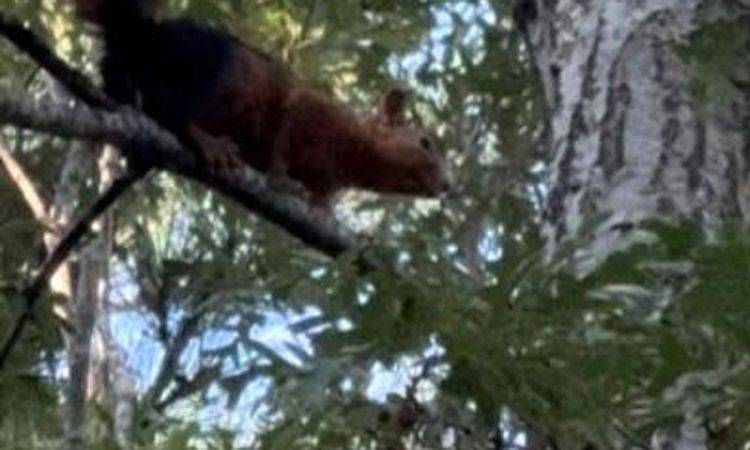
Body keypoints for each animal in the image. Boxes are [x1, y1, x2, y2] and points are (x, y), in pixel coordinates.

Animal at [73, 0, 451, 210]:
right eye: (425, 143)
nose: (447, 186)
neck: (356, 151)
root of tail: (145, 38)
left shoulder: (328, 176)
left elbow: (321, 193)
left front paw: (324, 208)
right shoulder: (311, 109)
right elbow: (287, 133)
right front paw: (281, 177)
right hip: (224, 81)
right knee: (169, 106)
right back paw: (208, 141)